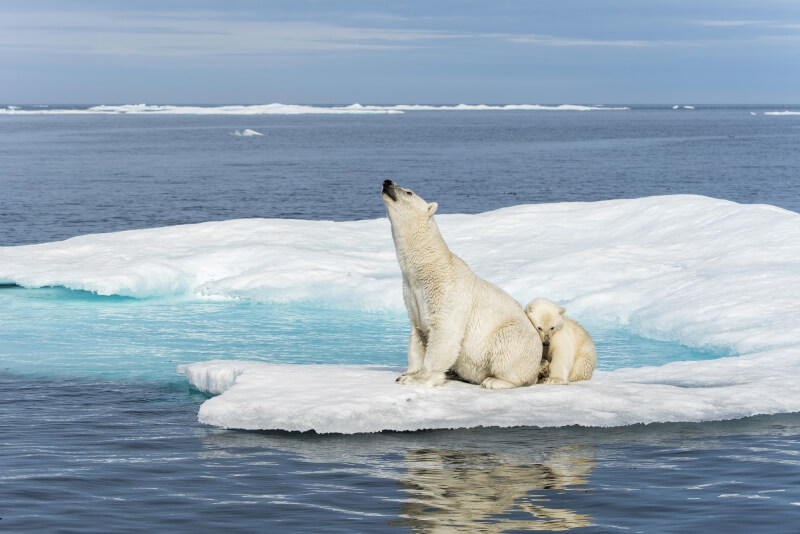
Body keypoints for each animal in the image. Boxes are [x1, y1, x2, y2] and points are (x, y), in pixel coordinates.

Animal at [382, 180, 544, 390]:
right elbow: (418, 333)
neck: (427, 267)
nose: (387, 182)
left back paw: (494, 380)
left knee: (508, 350)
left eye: (408, 192)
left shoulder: (445, 291)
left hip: (515, 338)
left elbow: (445, 332)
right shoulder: (412, 293)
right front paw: (407, 373)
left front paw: (417, 379)